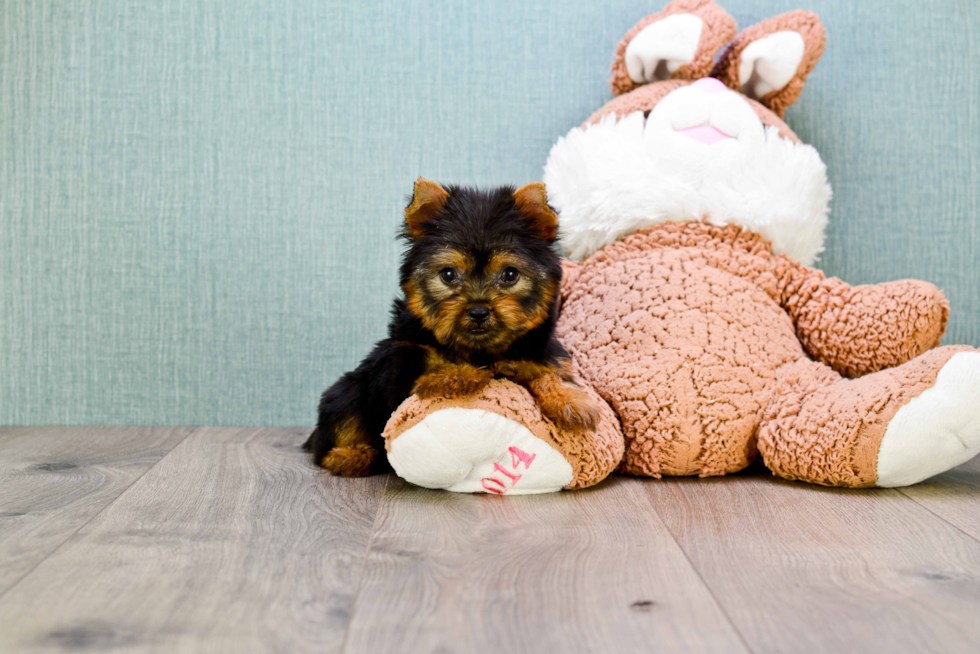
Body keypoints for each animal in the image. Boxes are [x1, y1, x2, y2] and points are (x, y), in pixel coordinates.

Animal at [306, 179, 596, 476]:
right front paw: (462, 375)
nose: (478, 311)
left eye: (510, 274)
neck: (481, 350)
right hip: (349, 390)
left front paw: (569, 400)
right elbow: (429, 363)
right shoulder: (397, 359)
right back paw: (352, 455)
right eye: (448, 274)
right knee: (338, 424)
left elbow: (549, 373)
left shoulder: (549, 355)